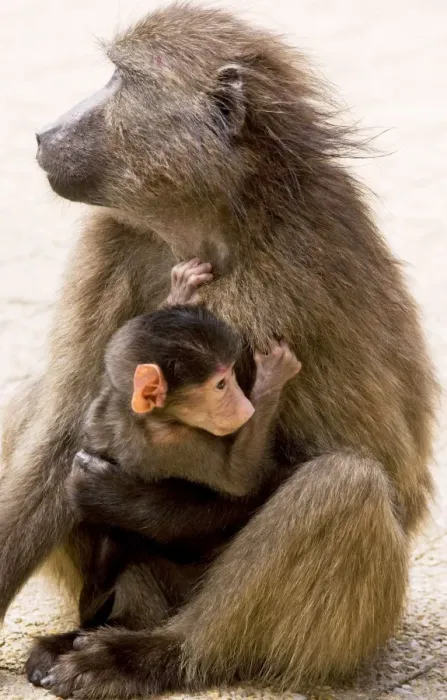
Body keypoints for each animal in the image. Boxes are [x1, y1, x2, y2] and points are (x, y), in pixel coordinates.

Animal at [73, 257, 300, 627]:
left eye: (232, 374)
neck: (142, 416)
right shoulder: (177, 443)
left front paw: (179, 292)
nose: (244, 405)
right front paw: (272, 377)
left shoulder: (110, 397)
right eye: (221, 384)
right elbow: (239, 479)